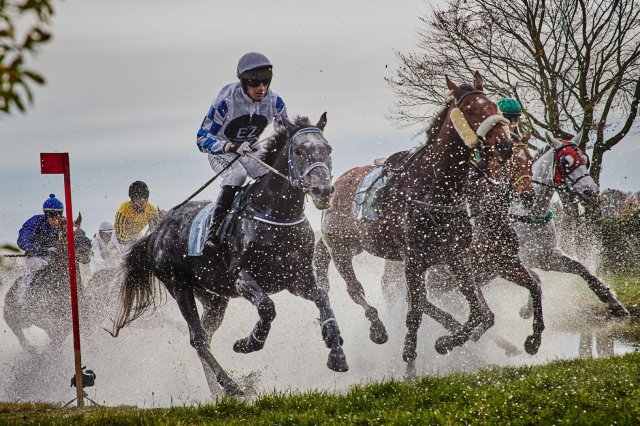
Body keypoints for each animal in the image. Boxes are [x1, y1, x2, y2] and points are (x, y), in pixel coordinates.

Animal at [510, 131, 632, 316]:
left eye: (584, 160)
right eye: (564, 162)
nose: (591, 191)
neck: (529, 214)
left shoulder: (545, 256)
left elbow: (582, 268)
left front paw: (613, 301)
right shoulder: (518, 259)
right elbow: (535, 279)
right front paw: (528, 308)